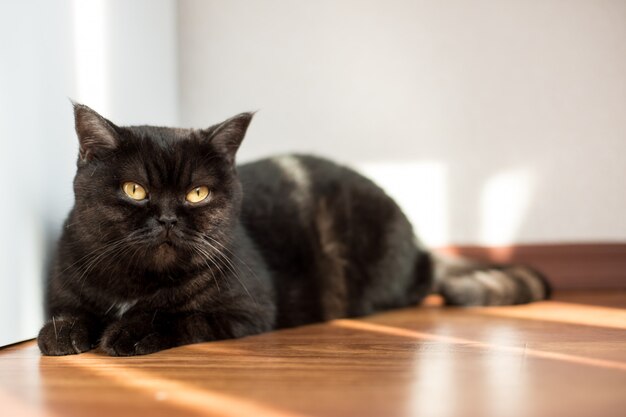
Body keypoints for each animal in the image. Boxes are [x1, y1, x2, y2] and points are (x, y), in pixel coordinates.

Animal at [37, 103, 544, 354]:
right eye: (135, 190)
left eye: (198, 193)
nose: (167, 217)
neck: (138, 282)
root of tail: (419, 244)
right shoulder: (68, 292)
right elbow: (67, 316)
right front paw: (62, 335)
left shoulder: (248, 311)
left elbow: (177, 316)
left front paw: (125, 333)